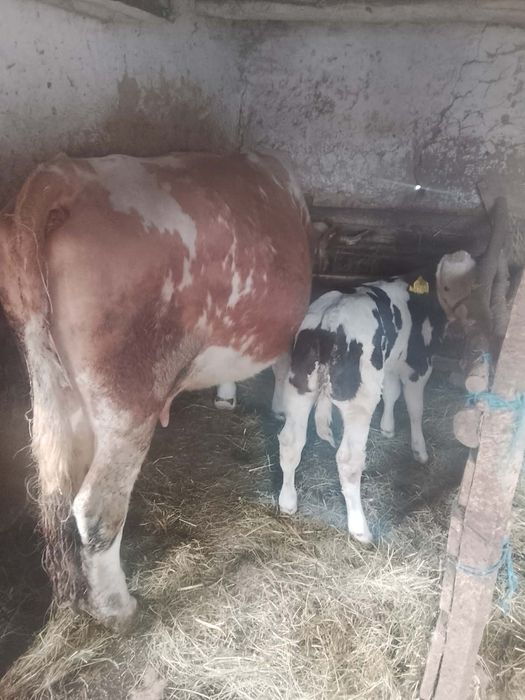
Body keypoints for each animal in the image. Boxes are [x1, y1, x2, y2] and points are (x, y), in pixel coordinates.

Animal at [0, 150, 311, 630]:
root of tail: (64, 176)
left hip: (54, 380)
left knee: (60, 491)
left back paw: (77, 597)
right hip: (128, 400)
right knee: (96, 508)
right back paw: (117, 608)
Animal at [276, 262, 473, 544]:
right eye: (447, 285)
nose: (465, 320)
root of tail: (330, 316)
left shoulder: (390, 363)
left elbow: (391, 392)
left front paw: (388, 428)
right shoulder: (419, 365)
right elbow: (415, 407)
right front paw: (420, 450)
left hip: (299, 388)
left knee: (290, 442)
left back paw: (288, 503)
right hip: (358, 401)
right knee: (348, 460)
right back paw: (360, 528)